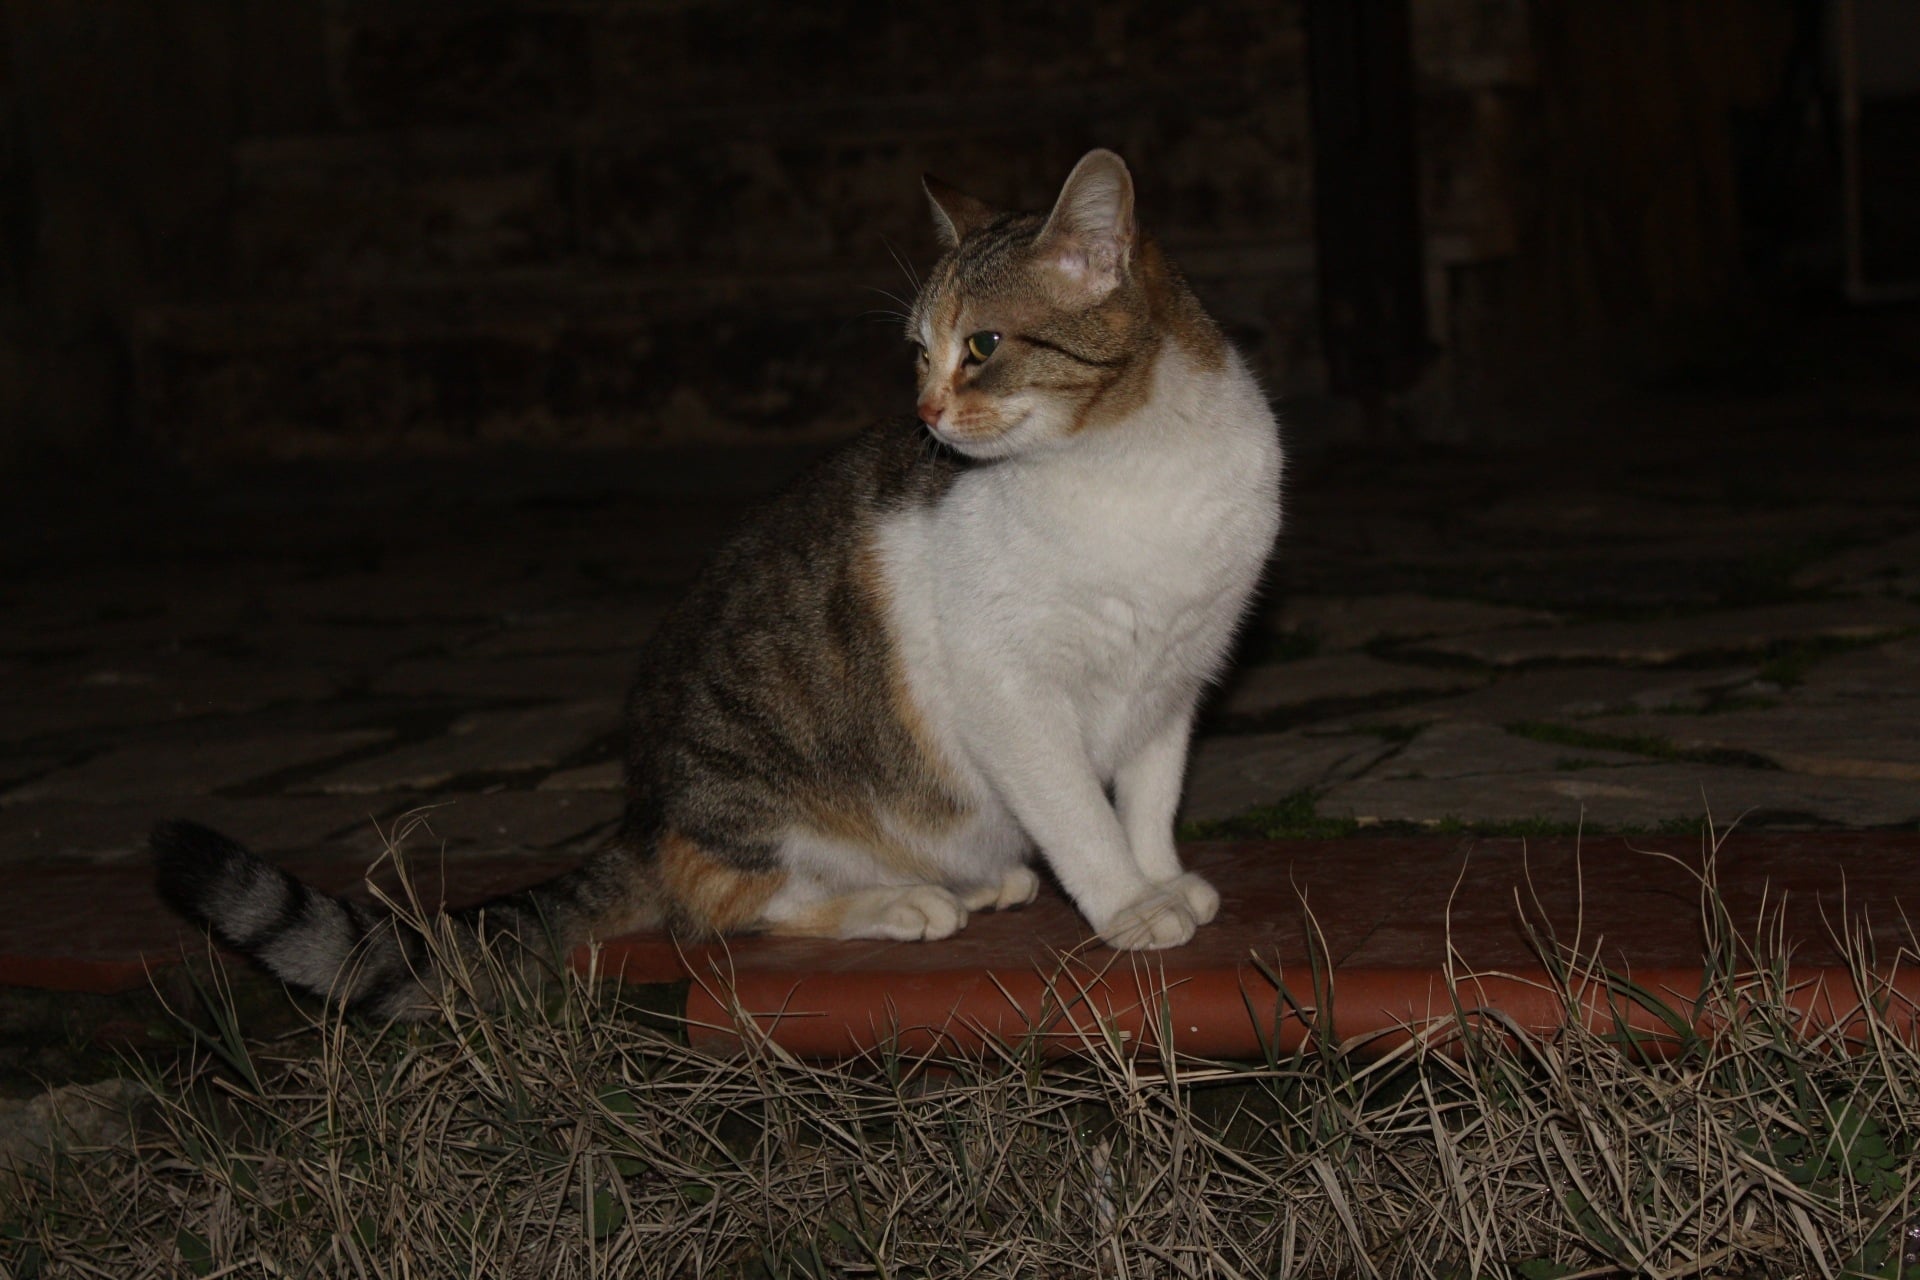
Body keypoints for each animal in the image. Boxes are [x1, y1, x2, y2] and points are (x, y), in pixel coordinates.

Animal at [151, 149, 1284, 1018]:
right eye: (919, 353)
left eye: (986, 345)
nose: (924, 412)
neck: (1129, 469)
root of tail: (643, 814)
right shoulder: (1011, 693)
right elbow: (1080, 814)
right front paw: (1128, 904)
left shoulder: (1175, 679)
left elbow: (1148, 796)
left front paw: (1160, 876)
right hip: (762, 803)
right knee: (719, 908)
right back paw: (903, 899)